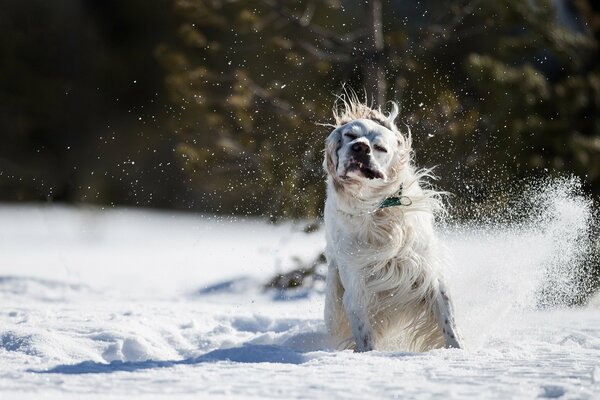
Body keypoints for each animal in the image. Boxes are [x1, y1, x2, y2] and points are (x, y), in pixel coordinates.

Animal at [322, 95, 462, 352]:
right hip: (332, 310)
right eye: (349, 135)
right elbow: (364, 335)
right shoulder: (356, 287)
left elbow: (449, 324)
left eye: (380, 147)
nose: (360, 147)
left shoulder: (428, 272)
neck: (377, 211)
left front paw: (458, 353)